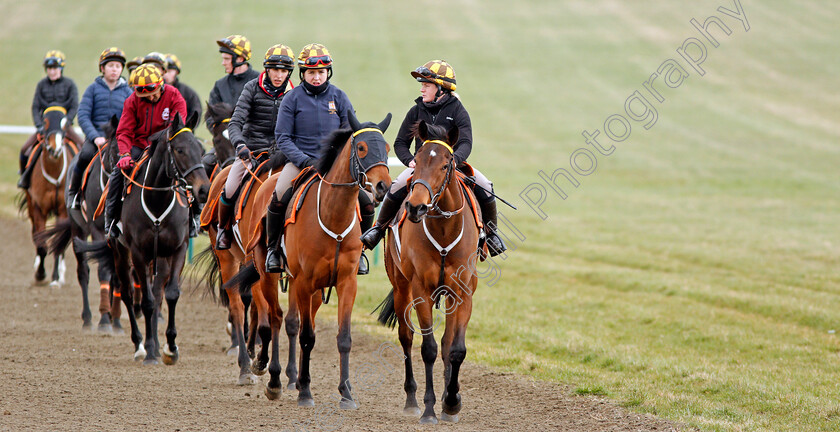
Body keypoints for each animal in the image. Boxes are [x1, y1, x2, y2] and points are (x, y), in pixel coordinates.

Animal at [21, 104, 79, 286]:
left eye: (65, 124)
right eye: (45, 122)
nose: (55, 149)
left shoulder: (63, 210)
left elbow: (58, 244)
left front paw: (55, 278)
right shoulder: (39, 208)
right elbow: (41, 244)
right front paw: (40, 273)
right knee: (36, 235)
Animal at [226, 110, 390, 404]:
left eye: (388, 147)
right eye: (361, 147)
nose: (384, 185)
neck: (333, 216)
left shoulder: (346, 282)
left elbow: (343, 337)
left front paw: (346, 392)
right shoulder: (303, 282)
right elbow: (305, 335)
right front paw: (303, 390)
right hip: (267, 275)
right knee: (275, 319)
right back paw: (272, 376)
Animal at [372, 120, 482, 424]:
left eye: (446, 165)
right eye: (417, 161)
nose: (416, 206)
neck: (444, 231)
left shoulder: (462, 292)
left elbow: (454, 349)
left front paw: (451, 402)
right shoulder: (421, 289)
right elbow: (428, 348)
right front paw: (430, 408)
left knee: (445, 343)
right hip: (401, 288)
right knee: (406, 338)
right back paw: (411, 400)